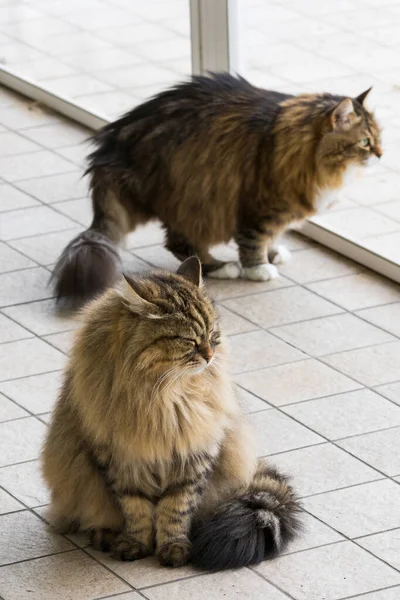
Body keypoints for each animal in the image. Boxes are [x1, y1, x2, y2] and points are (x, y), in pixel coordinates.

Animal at [42, 258, 302, 572]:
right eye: (189, 340)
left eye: (212, 334)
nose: (209, 355)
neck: (165, 395)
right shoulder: (121, 458)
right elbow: (135, 508)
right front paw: (135, 544)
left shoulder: (194, 453)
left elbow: (176, 509)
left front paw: (174, 547)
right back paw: (104, 535)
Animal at [52, 72, 382, 308]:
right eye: (365, 142)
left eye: (379, 138)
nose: (381, 154)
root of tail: (112, 148)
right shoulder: (262, 204)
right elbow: (254, 240)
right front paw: (259, 269)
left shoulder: (279, 210)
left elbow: (273, 236)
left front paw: (274, 253)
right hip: (198, 198)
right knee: (181, 244)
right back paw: (223, 267)